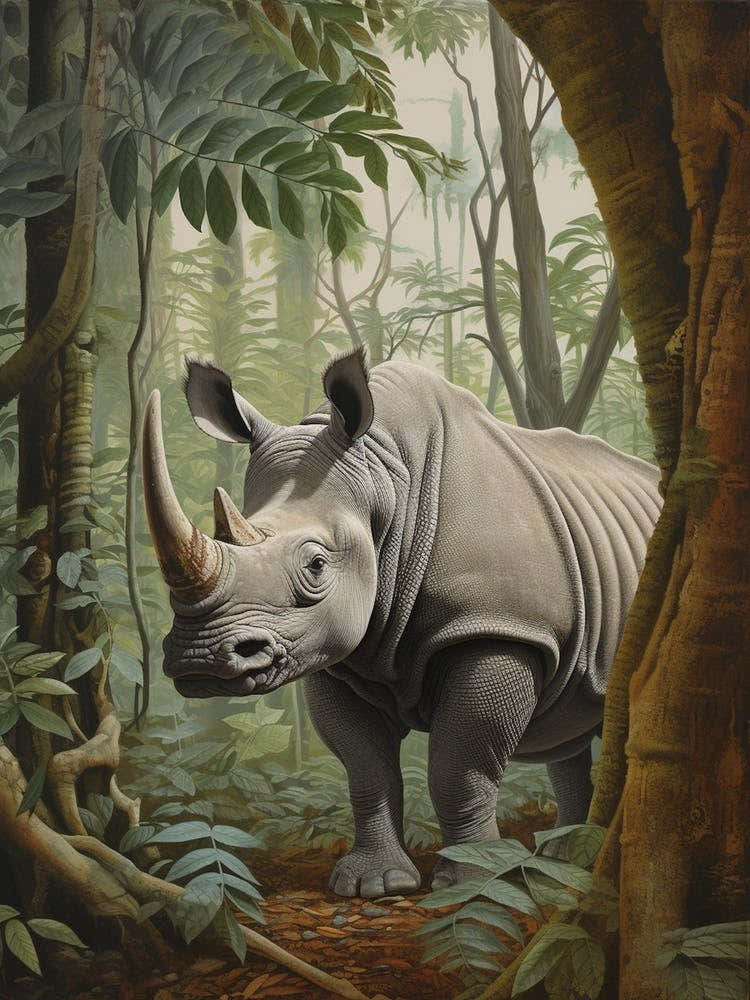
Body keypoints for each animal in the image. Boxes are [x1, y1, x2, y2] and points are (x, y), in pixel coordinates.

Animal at [142, 349, 661, 897]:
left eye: (316, 565)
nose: (200, 660)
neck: (388, 480)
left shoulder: (500, 626)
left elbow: (460, 768)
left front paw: (470, 881)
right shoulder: (337, 651)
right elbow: (365, 767)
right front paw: (377, 885)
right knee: (569, 728)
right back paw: (566, 858)